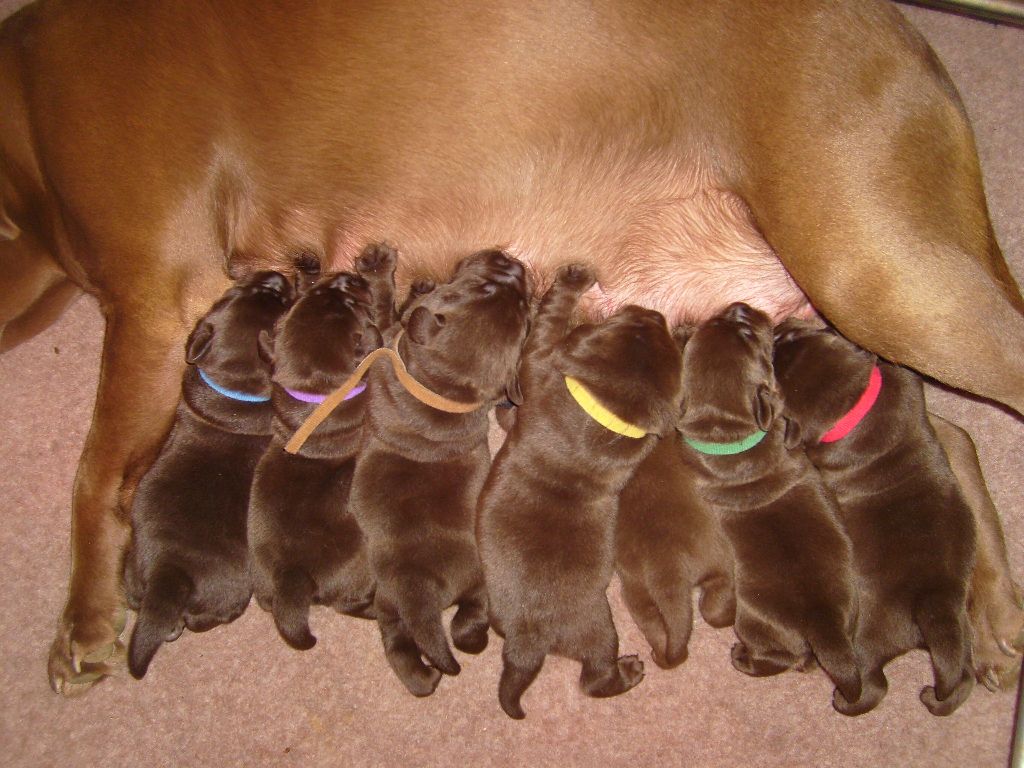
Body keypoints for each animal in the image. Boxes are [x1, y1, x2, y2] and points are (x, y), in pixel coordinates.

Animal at [122, 272, 296, 679]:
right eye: (282, 302)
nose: (275, 275)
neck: (234, 383)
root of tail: (169, 574)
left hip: (133, 571)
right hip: (228, 590)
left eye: (233, 293)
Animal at [350, 250, 532, 696]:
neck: (444, 389)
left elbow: (384, 309)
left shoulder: (388, 336)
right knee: (444, 634)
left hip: (405, 599)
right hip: (443, 596)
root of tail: (423, 594)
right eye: (487, 288)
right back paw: (440, 665)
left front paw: (383, 272)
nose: (515, 263)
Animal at [475, 266, 684, 720]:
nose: (657, 313)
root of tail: (529, 640)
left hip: (599, 630)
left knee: (595, 680)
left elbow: (549, 320)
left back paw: (629, 672)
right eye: (644, 328)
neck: (606, 411)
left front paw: (574, 278)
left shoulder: (538, 360)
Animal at [774, 319, 974, 716]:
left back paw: (843, 698)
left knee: (873, 681)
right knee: (961, 675)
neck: (856, 404)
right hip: (961, 628)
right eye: (790, 337)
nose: (777, 330)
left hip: (867, 635)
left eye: (775, 373)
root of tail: (932, 600)